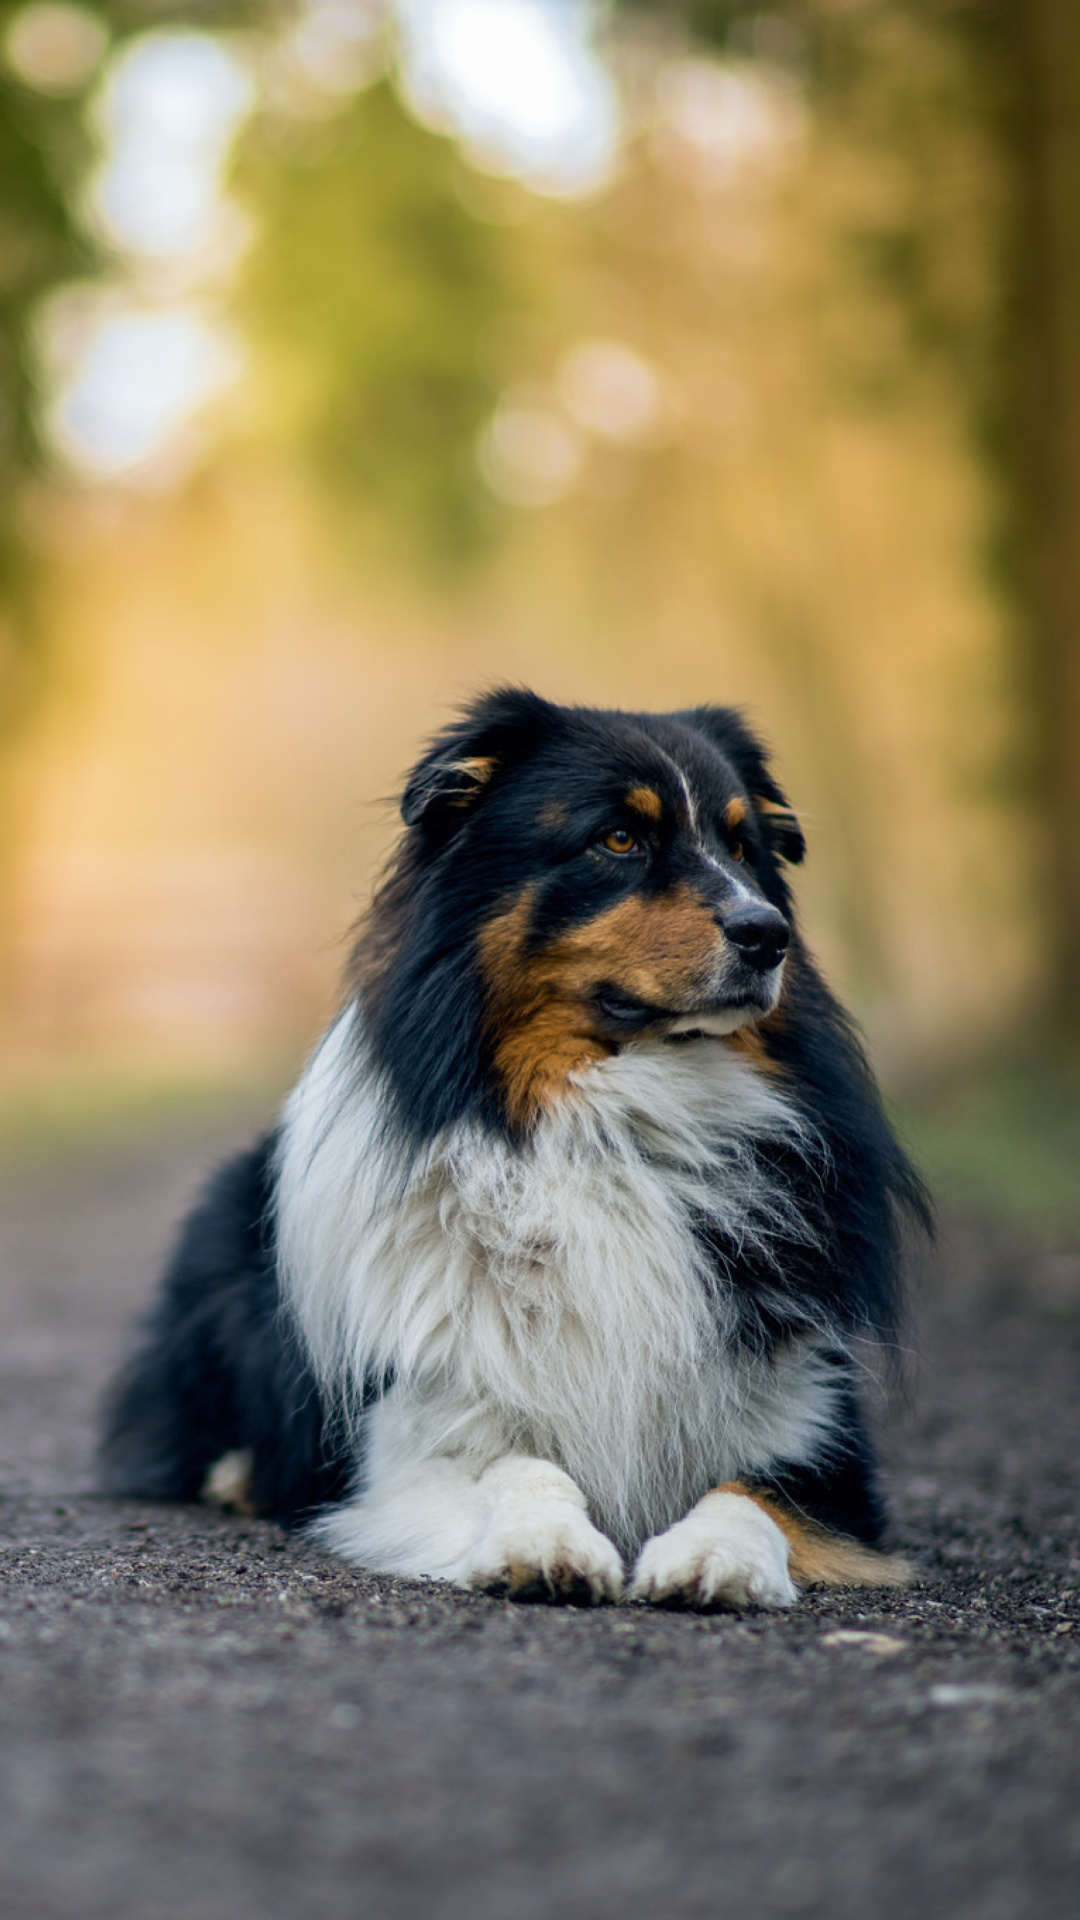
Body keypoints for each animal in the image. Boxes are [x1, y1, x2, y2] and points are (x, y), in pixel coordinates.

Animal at [98, 687, 926, 1605]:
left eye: (744, 847)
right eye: (619, 838)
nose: (767, 932)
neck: (609, 1123)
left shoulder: (816, 1432)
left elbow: (748, 1493)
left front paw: (716, 1559)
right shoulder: (414, 1434)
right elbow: (520, 1465)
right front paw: (546, 1545)